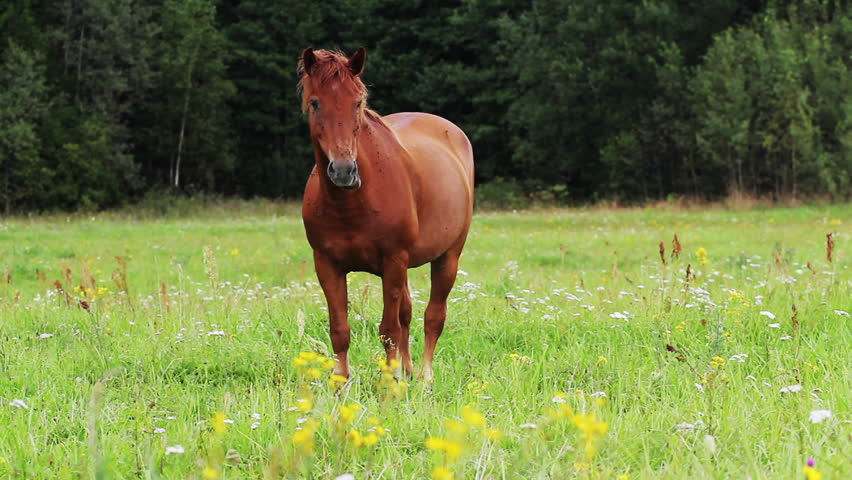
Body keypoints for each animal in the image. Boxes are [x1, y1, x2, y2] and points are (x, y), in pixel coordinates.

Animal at [298, 47, 475, 382]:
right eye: (315, 102)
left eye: (357, 102)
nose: (344, 171)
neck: (351, 204)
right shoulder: (326, 264)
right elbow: (340, 330)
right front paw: (341, 384)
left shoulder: (393, 260)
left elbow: (389, 329)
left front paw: (390, 382)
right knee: (406, 312)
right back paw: (408, 369)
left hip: (448, 257)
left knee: (433, 316)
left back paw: (424, 377)